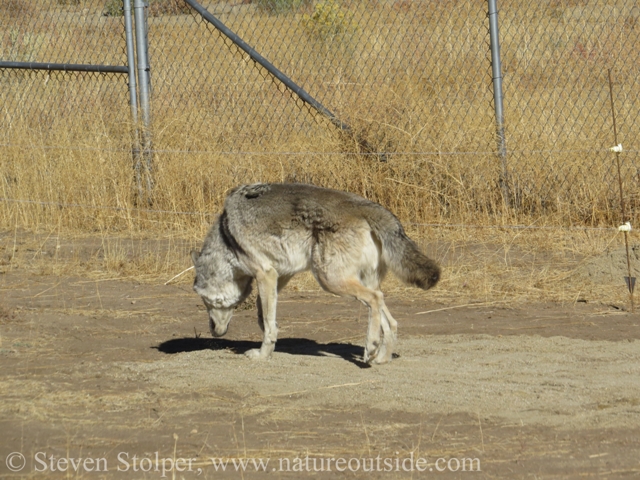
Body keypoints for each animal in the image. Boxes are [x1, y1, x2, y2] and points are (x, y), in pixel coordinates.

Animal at [191, 183, 440, 364]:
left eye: (205, 302)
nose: (213, 332)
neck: (227, 237)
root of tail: (368, 206)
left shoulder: (265, 274)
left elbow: (268, 323)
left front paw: (262, 355)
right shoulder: (280, 275)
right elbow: (264, 317)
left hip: (330, 280)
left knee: (375, 300)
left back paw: (370, 346)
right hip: (361, 280)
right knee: (391, 321)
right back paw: (380, 358)